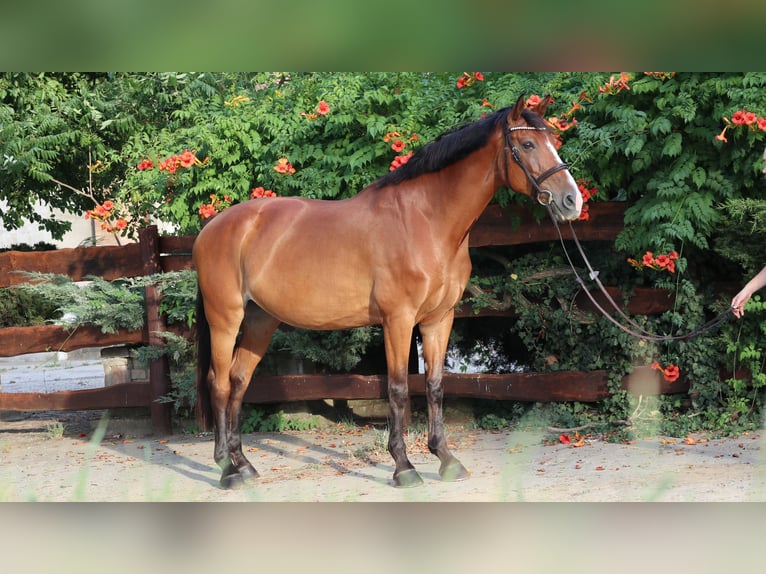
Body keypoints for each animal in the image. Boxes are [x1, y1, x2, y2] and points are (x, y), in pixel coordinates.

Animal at [193, 94, 583, 489]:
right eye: (528, 144)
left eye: (555, 140)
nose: (572, 201)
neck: (425, 221)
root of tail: (212, 228)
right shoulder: (398, 320)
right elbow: (397, 389)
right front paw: (404, 467)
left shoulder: (439, 319)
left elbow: (435, 385)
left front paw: (446, 459)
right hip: (226, 319)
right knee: (219, 384)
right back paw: (227, 470)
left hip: (261, 320)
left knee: (239, 381)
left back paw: (244, 465)